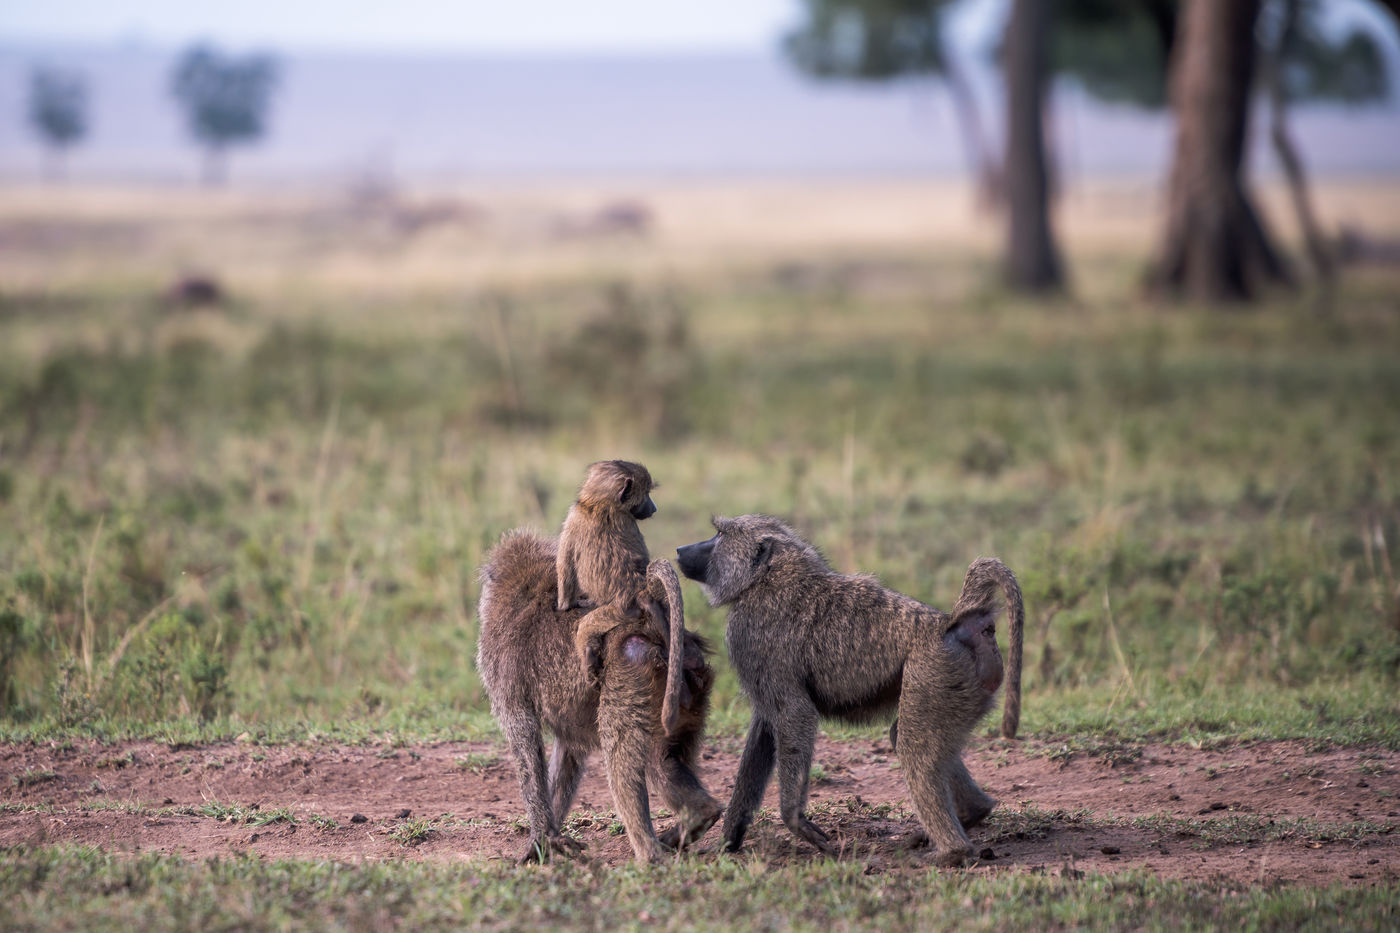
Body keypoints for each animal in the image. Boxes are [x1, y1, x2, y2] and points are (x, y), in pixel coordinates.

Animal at [477, 529, 722, 865]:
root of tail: (655, 627)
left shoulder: (504, 676)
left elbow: (525, 742)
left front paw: (541, 840)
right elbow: (568, 751)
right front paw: (550, 838)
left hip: (630, 675)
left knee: (621, 758)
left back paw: (648, 856)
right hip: (685, 692)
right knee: (661, 761)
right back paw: (696, 819)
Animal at [676, 514, 1023, 867]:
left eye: (719, 535)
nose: (680, 549)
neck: (769, 575)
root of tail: (951, 624)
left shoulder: (746, 635)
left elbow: (794, 715)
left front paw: (794, 821)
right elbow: (764, 733)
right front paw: (729, 839)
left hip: (936, 673)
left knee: (913, 748)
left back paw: (953, 851)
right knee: (911, 740)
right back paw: (972, 814)